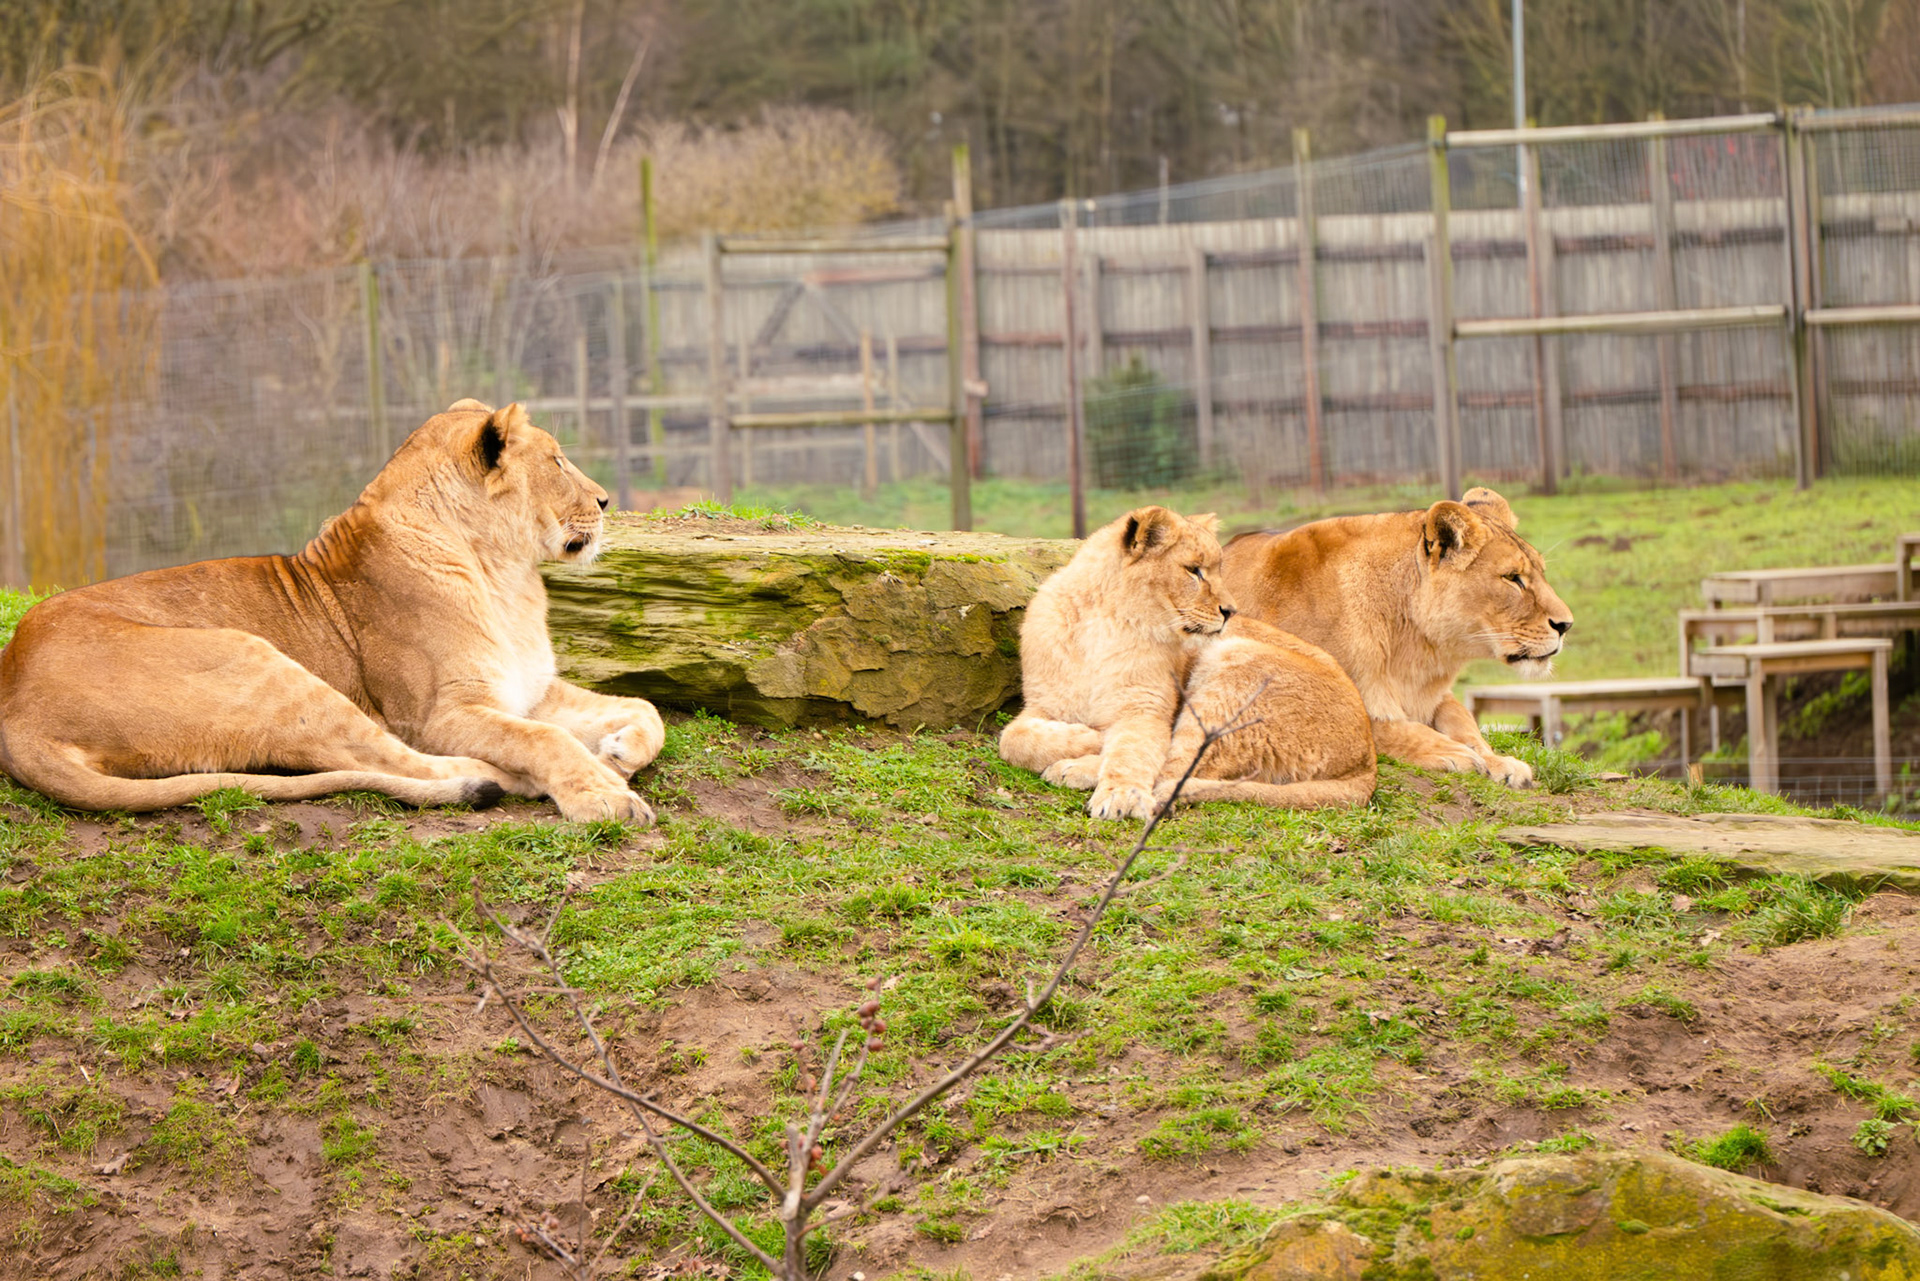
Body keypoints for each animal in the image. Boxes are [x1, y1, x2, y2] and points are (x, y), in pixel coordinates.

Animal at [0, 400, 663, 823]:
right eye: (557, 462)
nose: (605, 500)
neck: (507, 576)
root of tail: (15, 712)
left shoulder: (528, 690)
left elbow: (644, 709)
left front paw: (619, 750)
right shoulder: (438, 712)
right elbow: (545, 738)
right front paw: (603, 794)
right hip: (255, 659)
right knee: (375, 755)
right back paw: (505, 781)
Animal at [999, 506, 1376, 820]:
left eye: (1218, 570)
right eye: (1194, 571)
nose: (1231, 611)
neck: (1104, 624)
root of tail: (1367, 760)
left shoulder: (1146, 708)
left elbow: (1135, 750)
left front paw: (1121, 793)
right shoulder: (1041, 703)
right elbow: (1013, 740)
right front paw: (1089, 736)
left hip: (1231, 664)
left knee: (1176, 770)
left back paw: (1074, 770)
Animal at [1219, 486, 1572, 786]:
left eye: (1540, 573)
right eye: (1512, 578)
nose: (1566, 625)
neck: (1415, 647)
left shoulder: (1435, 694)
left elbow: (1464, 723)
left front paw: (1499, 762)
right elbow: (1385, 727)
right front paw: (1453, 752)